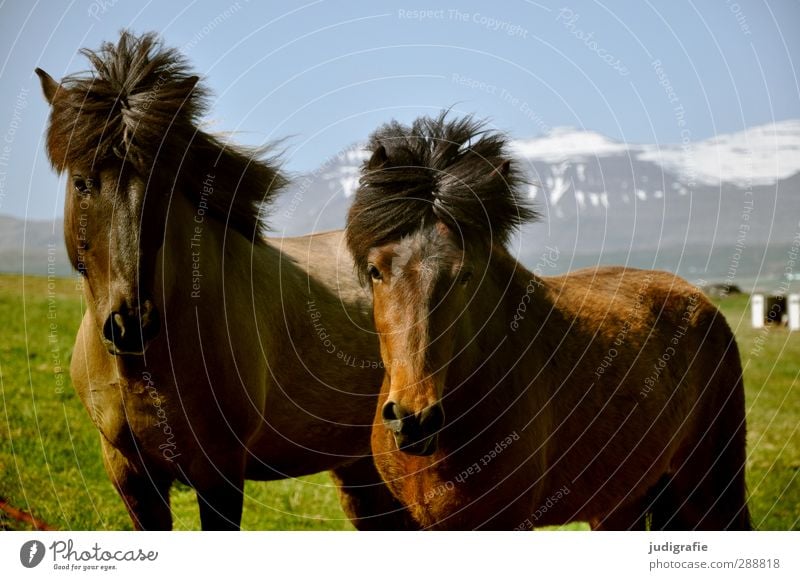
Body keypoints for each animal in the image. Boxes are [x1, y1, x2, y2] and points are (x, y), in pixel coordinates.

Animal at [35, 30, 416, 532]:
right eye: (82, 183)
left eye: (164, 183)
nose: (129, 325)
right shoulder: (132, 477)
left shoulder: (219, 476)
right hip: (363, 470)